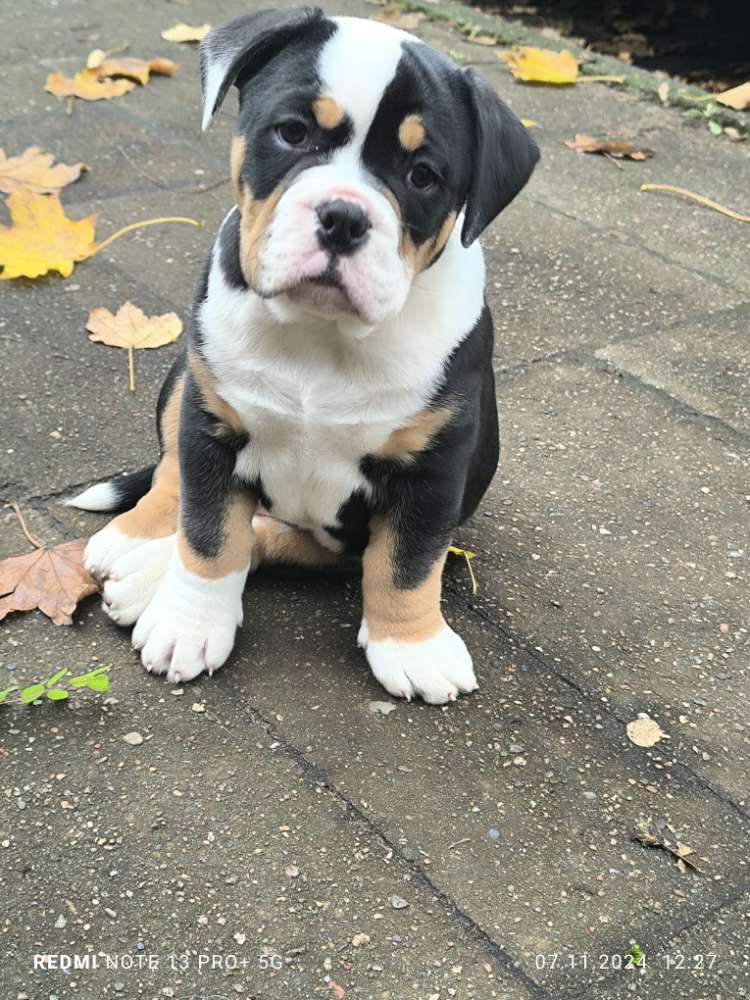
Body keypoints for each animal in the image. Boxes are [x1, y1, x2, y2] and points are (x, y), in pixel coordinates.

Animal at [70, 9, 536, 712]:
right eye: (292, 134)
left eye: (423, 175)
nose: (343, 216)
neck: (323, 333)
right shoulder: (212, 424)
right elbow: (209, 534)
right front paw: (189, 623)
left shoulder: (434, 465)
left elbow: (409, 561)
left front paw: (413, 645)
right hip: (184, 381)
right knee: (176, 481)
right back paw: (138, 546)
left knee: (279, 536)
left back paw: (150, 570)